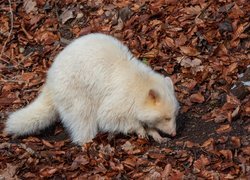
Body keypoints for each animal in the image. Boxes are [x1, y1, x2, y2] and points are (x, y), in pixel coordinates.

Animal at [4, 33, 180, 144]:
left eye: (173, 115)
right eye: (166, 117)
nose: (174, 133)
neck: (141, 82)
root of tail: (50, 82)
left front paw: (155, 133)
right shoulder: (121, 97)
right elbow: (109, 116)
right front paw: (140, 129)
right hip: (74, 91)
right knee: (82, 116)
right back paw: (87, 141)